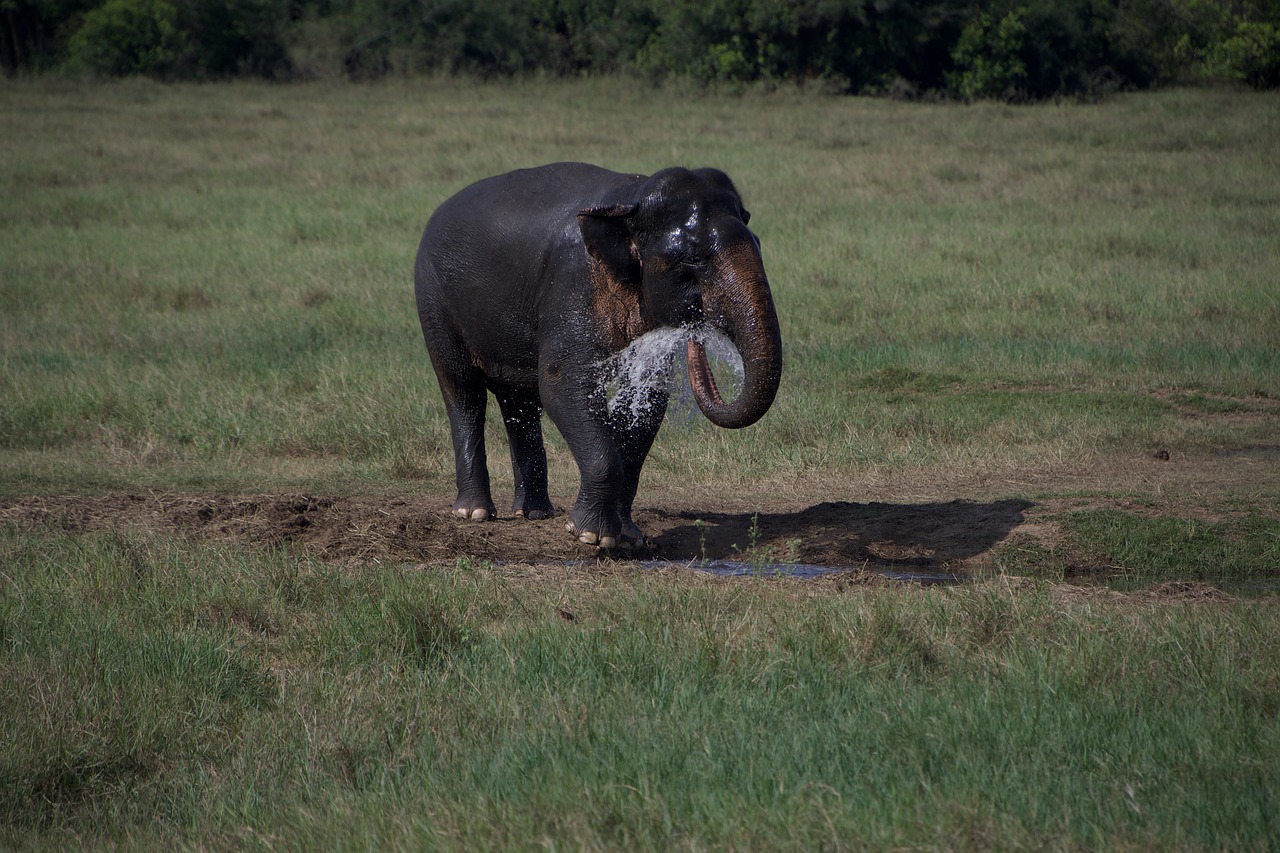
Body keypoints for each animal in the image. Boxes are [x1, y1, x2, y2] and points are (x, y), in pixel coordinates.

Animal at [417, 162, 778, 548]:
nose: (697, 331)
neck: (631, 200)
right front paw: (591, 537)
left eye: (759, 243)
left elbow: (646, 400)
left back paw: (533, 513)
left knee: (520, 400)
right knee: (463, 391)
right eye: (695, 258)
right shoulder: (571, 284)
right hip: (433, 300)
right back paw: (474, 513)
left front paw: (629, 537)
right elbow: (561, 383)